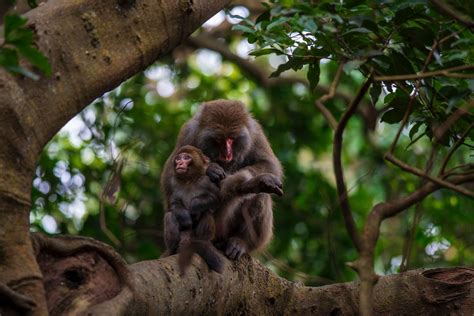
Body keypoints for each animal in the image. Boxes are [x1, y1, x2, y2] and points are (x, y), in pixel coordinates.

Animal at [163, 144, 224, 272]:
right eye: (178, 158)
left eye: (186, 158)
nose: (180, 163)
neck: (188, 180)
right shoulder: (173, 183)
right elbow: (174, 203)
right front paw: (184, 216)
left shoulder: (207, 180)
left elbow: (216, 198)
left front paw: (195, 205)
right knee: (169, 215)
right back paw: (174, 249)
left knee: (207, 213)